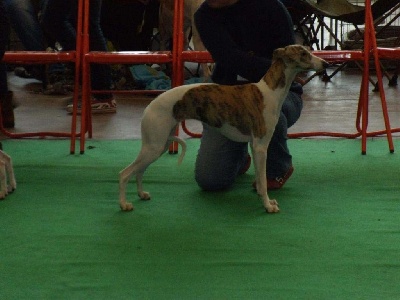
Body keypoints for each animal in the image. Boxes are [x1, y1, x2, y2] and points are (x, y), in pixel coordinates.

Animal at [119, 44, 328, 213]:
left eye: (309, 50)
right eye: (303, 53)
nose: (325, 63)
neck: (269, 92)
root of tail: (149, 106)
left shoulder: (255, 146)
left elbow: (260, 180)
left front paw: (266, 201)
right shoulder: (260, 146)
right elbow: (262, 182)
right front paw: (268, 206)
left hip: (159, 144)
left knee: (139, 171)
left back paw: (142, 194)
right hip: (154, 145)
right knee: (125, 173)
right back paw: (124, 204)